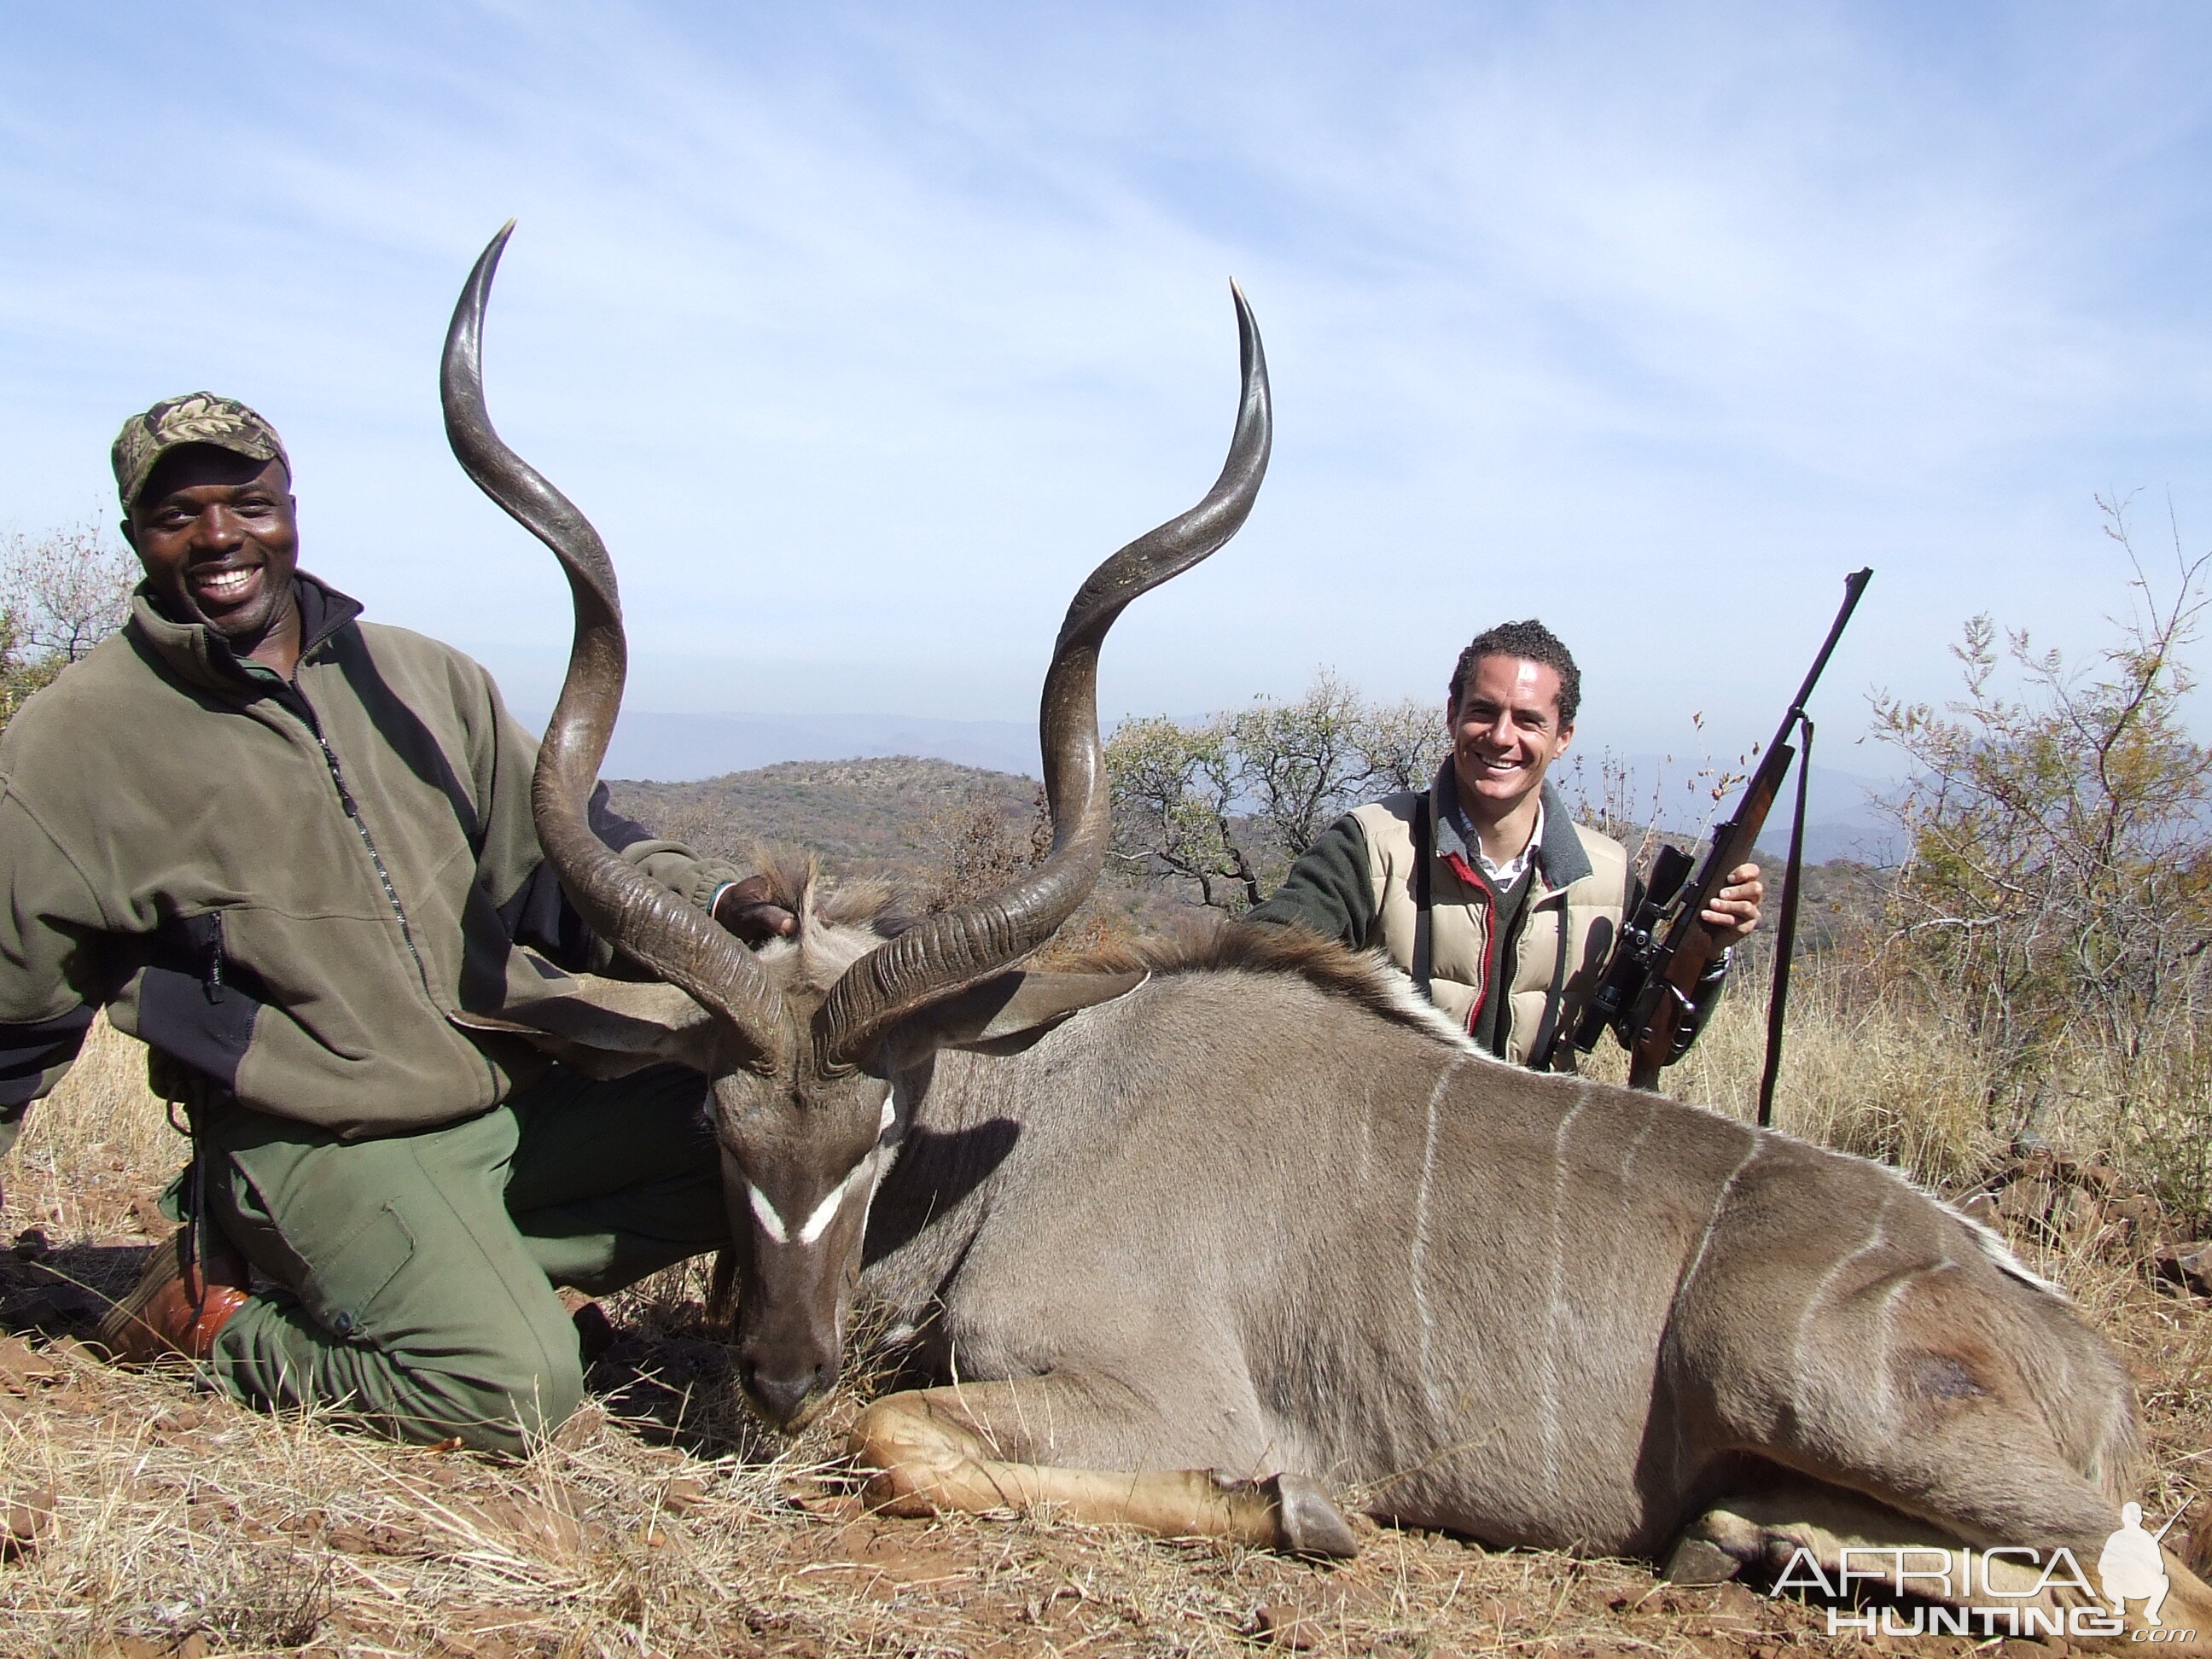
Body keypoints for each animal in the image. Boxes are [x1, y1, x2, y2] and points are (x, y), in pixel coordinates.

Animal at [439, 224, 2203, 1627]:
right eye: (717, 1123)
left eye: (877, 1130)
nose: (783, 1369)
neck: (1041, 1109)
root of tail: (2077, 1350)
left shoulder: (1145, 1384)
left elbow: (913, 1438)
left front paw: (1295, 1504)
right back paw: (1730, 1537)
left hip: (1814, 1385)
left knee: (2133, 1574)